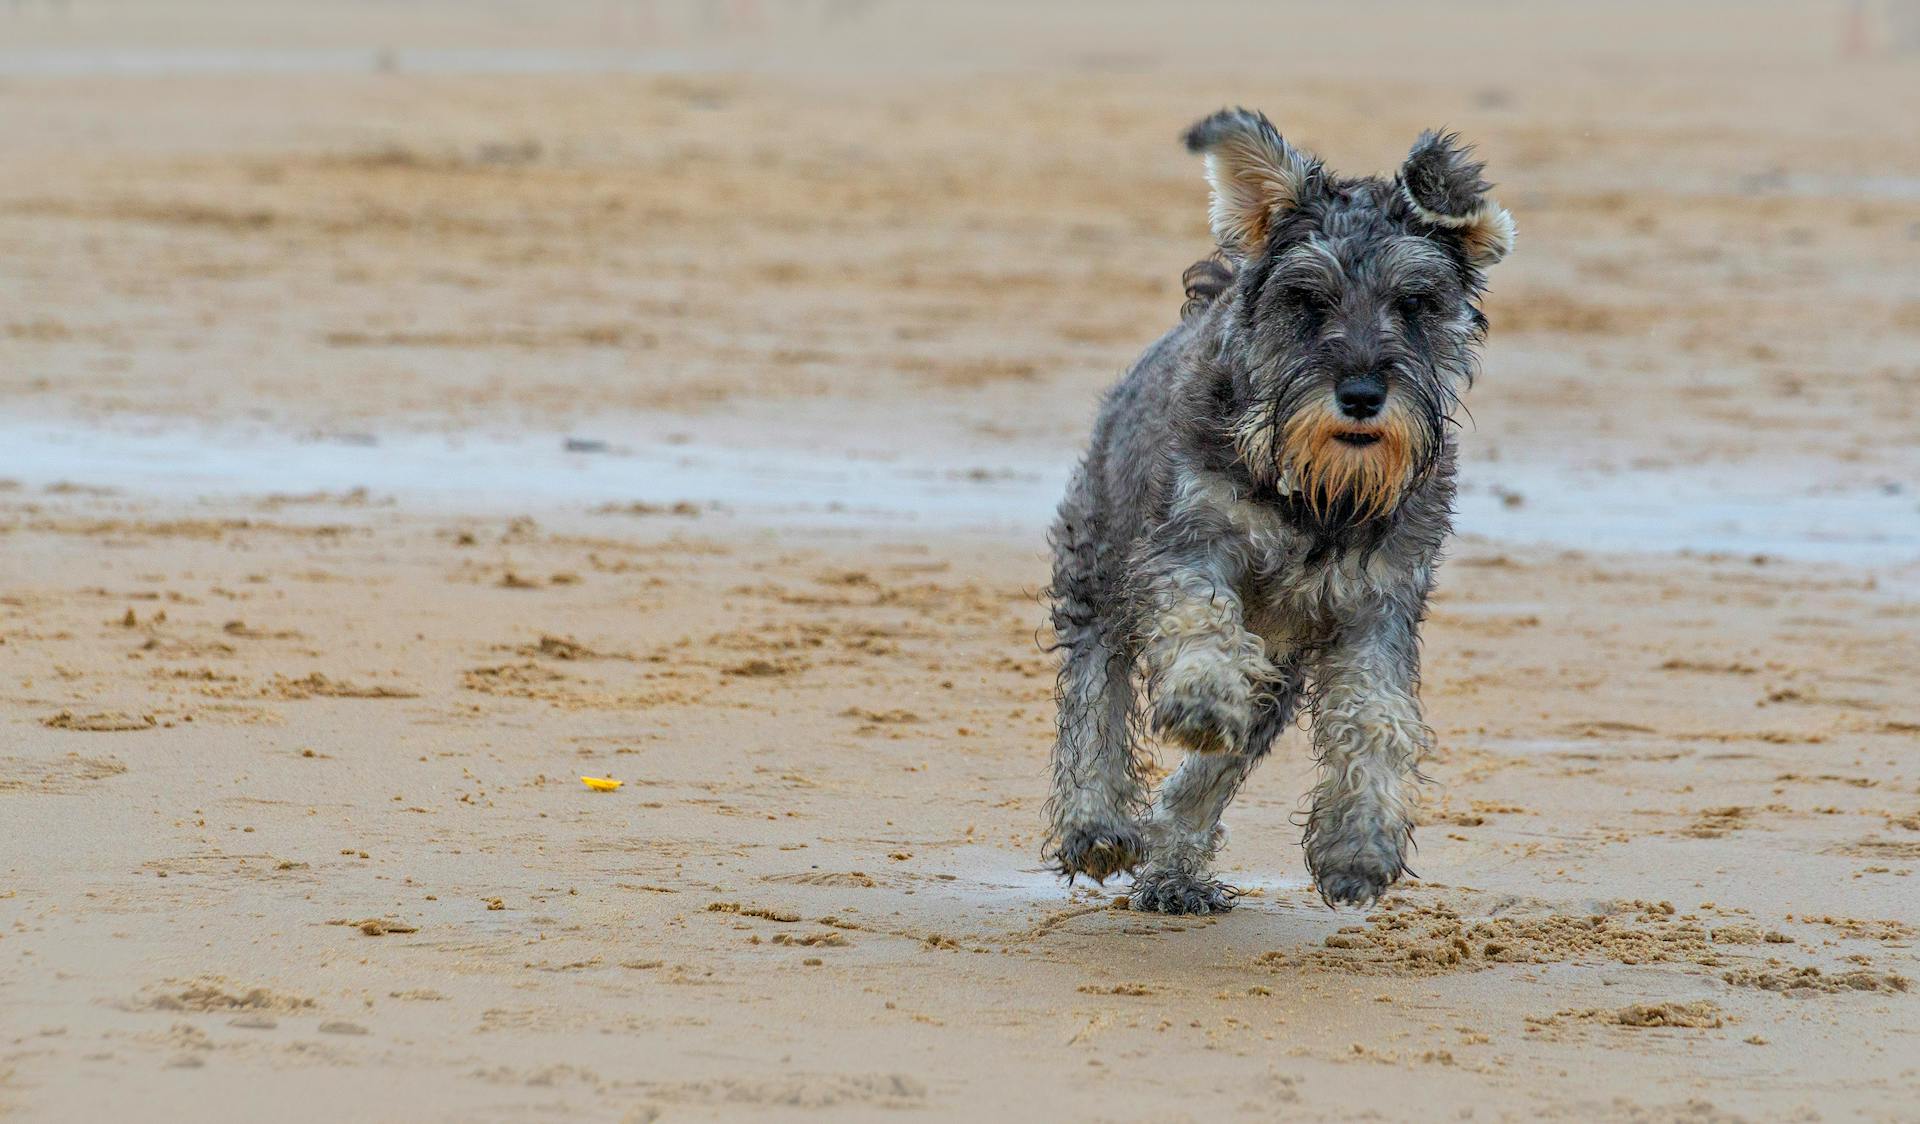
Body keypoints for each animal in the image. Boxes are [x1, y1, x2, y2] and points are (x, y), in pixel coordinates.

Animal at [1052, 107, 1512, 910]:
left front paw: (1358, 844)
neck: (1320, 497)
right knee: (1094, 687)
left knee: (1215, 768)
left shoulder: (1377, 605)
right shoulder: (1188, 544)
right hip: (1100, 562)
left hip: (1277, 668)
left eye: (1415, 303)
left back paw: (1174, 873)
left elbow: (1376, 716)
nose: (1360, 394)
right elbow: (1199, 619)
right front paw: (1203, 697)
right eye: (1307, 299)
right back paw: (1096, 822)